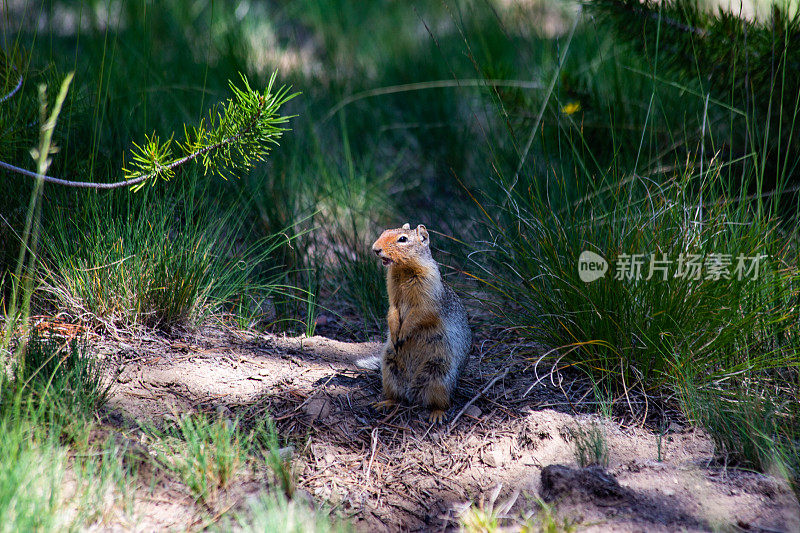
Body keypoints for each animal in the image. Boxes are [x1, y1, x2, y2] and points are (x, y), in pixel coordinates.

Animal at [372, 222, 472, 422]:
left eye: (402, 239)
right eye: (384, 232)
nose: (375, 249)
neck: (403, 270)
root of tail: (412, 392)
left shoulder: (428, 293)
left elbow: (419, 314)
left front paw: (403, 334)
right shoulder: (393, 295)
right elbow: (392, 311)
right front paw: (395, 333)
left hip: (439, 375)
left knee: (441, 402)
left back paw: (437, 415)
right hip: (389, 368)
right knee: (397, 397)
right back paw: (385, 403)